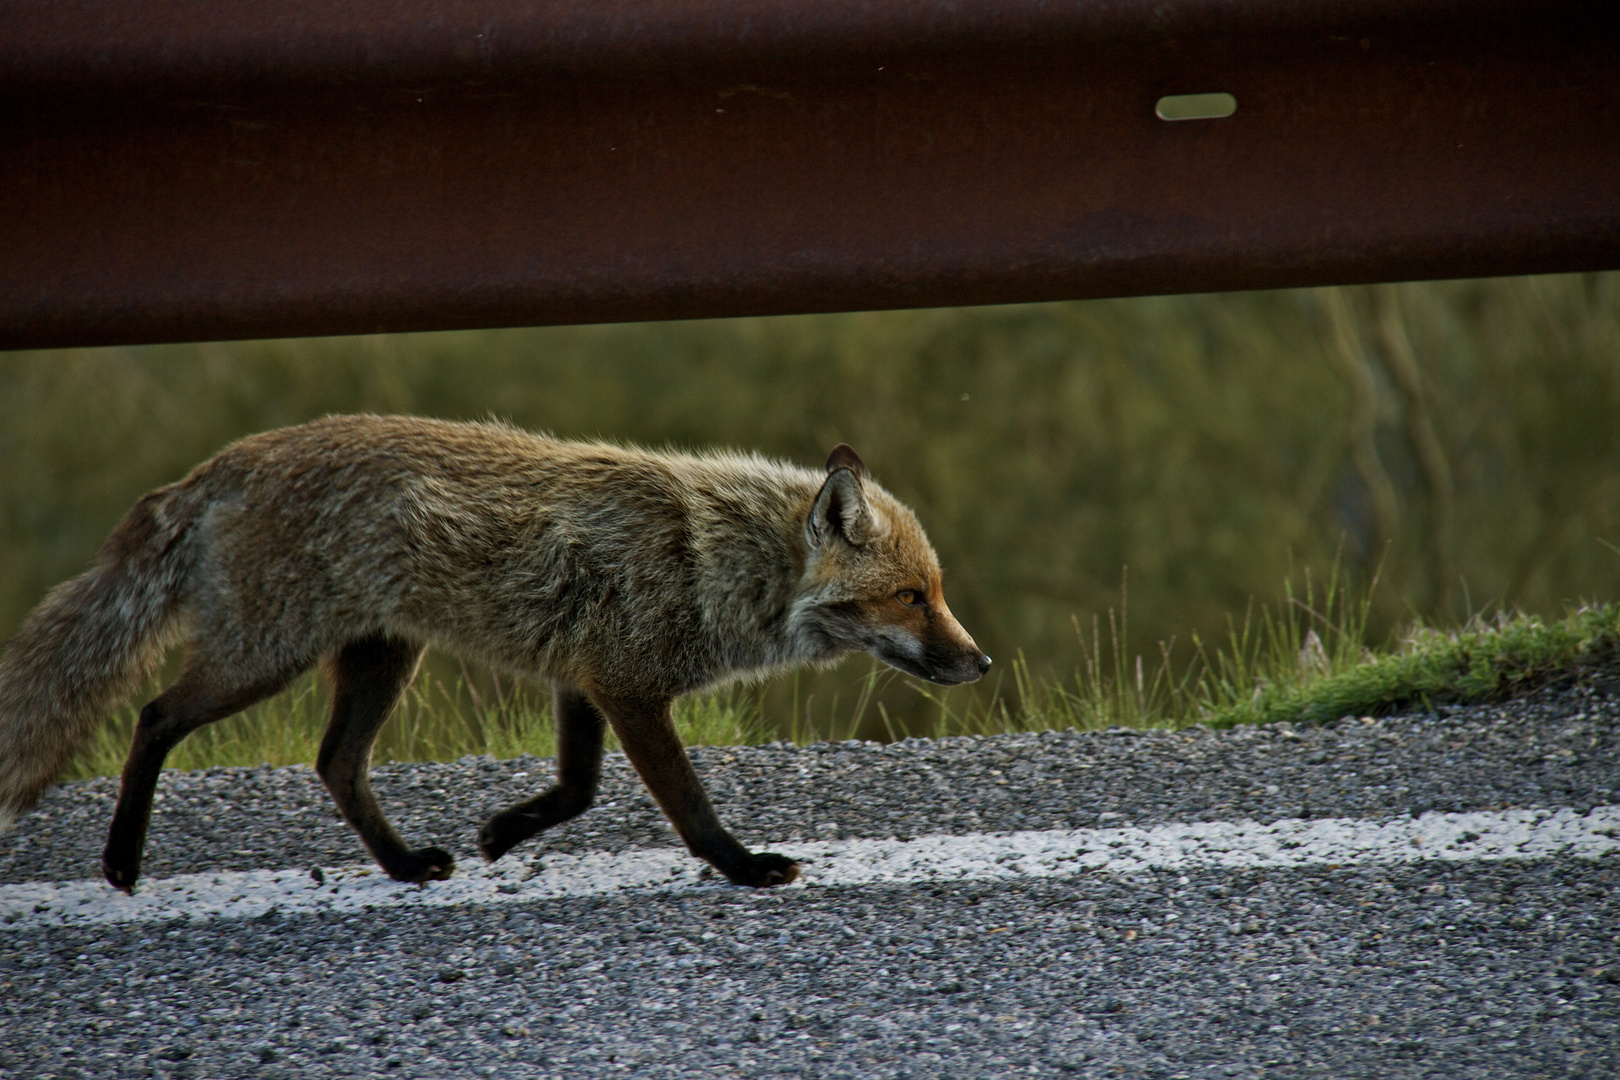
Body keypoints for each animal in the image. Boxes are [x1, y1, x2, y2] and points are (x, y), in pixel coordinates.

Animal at [0, 414, 984, 893]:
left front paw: (502, 834)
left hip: (378, 661)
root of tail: (224, 462)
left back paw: (403, 866)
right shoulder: (629, 687)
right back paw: (121, 862)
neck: (710, 559)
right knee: (153, 717)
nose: (978, 664)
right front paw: (744, 869)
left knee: (335, 764)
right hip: (264, 658)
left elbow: (577, 790)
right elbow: (690, 811)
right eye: (913, 596)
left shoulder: (585, 679)